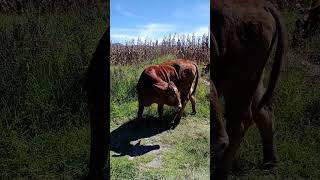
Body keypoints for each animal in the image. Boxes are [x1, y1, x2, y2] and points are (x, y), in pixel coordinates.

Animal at [210, 0, 288, 179]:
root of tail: (264, 5)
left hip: (238, 80)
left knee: (237, 123)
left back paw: (220, 172)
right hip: (253, 79)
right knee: (264, 113)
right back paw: (269, 163)